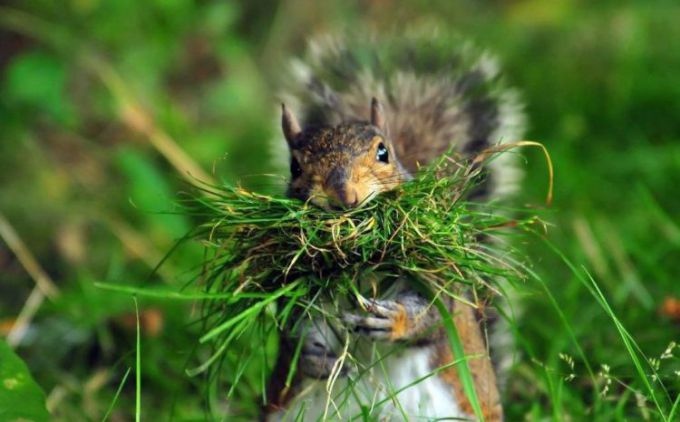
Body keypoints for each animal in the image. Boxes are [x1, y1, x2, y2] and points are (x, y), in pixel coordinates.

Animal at [262, 30, 524, 422]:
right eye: (295, 167)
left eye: (383, 152)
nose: (345, 195)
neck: (355, 261)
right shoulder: (292, 284)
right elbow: (291, 327)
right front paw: (312, 356)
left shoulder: (435, 273)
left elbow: (435, 314)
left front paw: (395, 320)